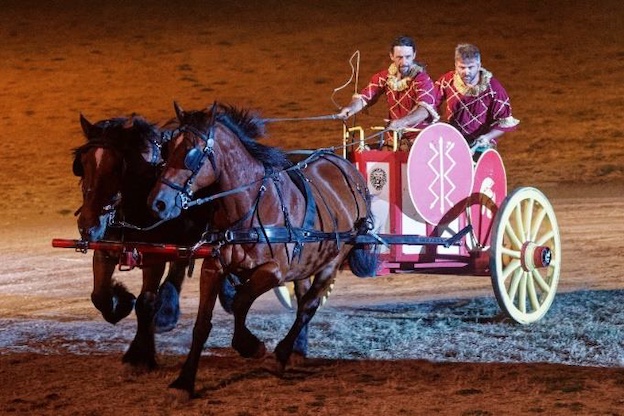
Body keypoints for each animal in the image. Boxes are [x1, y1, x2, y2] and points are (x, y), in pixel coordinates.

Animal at [73, 114, 208, 370]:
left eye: (117, 167)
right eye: (82, 164)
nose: (88, 226)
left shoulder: (154, 256)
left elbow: (145, 302)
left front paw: (140, 353)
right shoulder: (104, 250)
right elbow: (99, 296)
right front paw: (123, 299)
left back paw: (166, 313)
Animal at [150, 102, 376, 394]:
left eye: (192, 152)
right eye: (167, 149)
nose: (158, 203)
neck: (248, 206)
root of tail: (348, 167)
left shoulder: (273, 272)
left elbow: (240, 302)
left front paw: (251, 346)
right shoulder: (213, 268)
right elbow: (202, 323)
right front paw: (185, 380)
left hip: (334, 259)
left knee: (308, 306)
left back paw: (282, 353)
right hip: (305, 263)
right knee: (302, 299)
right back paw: (298, 349)